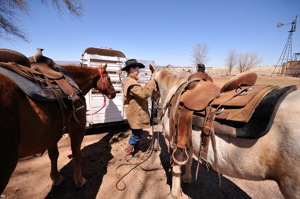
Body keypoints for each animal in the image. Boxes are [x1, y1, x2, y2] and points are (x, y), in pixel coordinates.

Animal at [0, 63, 115, 194]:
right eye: (109, 79)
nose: (114, 93)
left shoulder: (52, 134)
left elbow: (53, 154)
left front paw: (56, 178)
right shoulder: (78, 129)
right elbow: (76, 154)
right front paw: (79, 180)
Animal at [151, 65, 300, 199]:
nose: (152, 101)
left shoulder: (174, 141)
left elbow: (176, 168)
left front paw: (174, 194)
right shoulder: (186, 141)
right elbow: (188, 162)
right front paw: (187, 179)